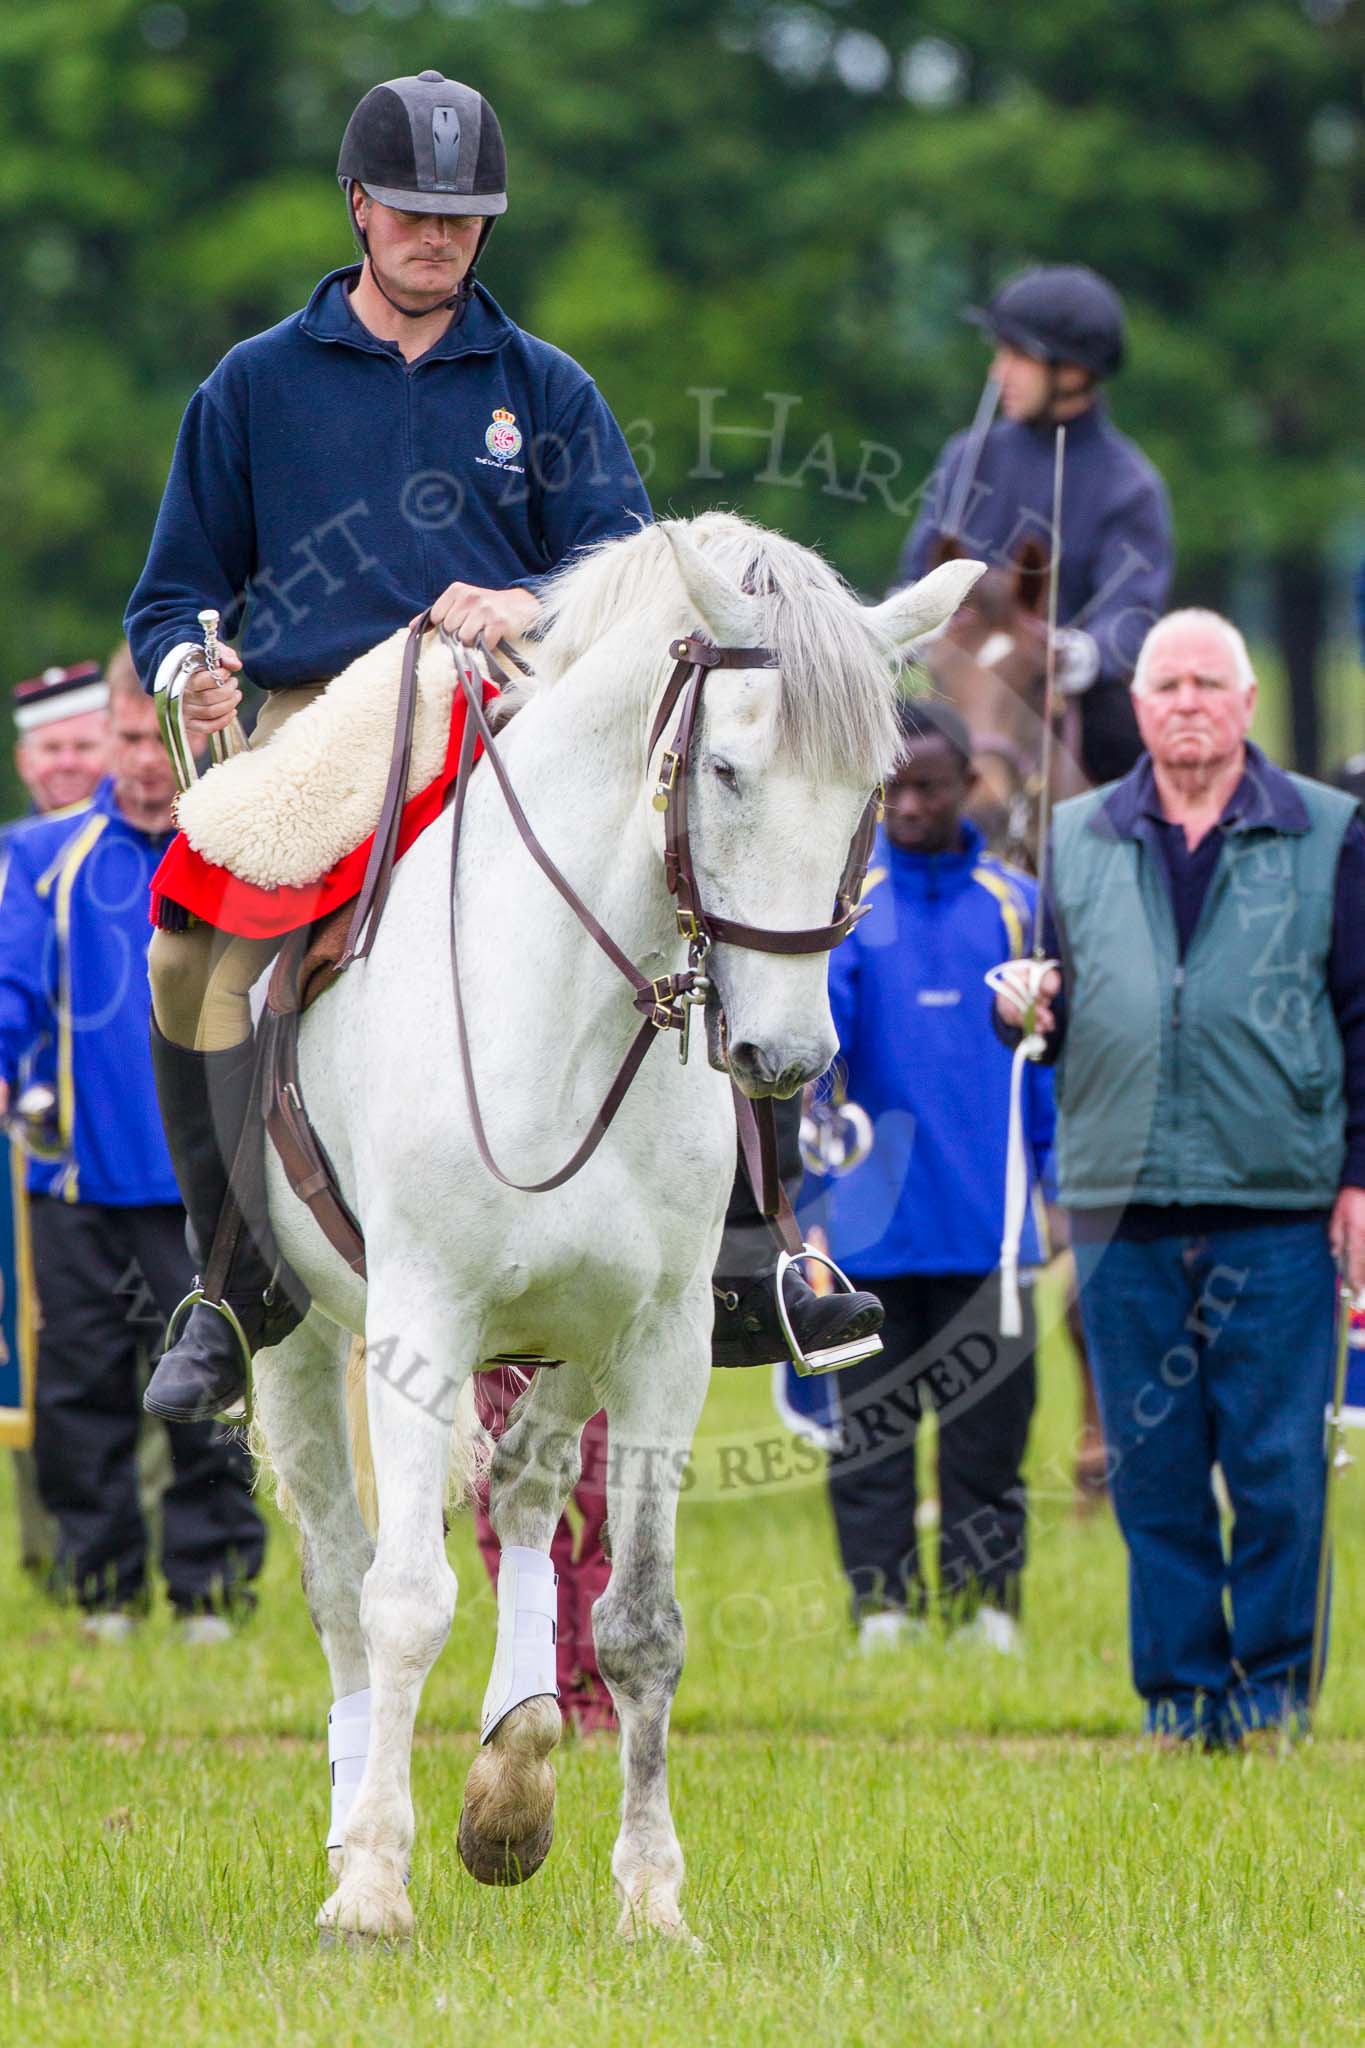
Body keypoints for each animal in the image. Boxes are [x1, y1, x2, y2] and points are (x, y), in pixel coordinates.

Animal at [250, 507, 982, 1933]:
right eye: (731, 769)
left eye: (871, 784)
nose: (783, 1055)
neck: (562, 1017)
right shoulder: (418, 1324)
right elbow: (402, 1598)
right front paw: (374, 1884)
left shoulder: (659, 1340)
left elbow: (644, 1623)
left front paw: (648, 1893)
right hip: (300, 1336)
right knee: (341, 1576)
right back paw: (354, 1822)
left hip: (570, 1335)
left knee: (530, 1493)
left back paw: (515, 1769)